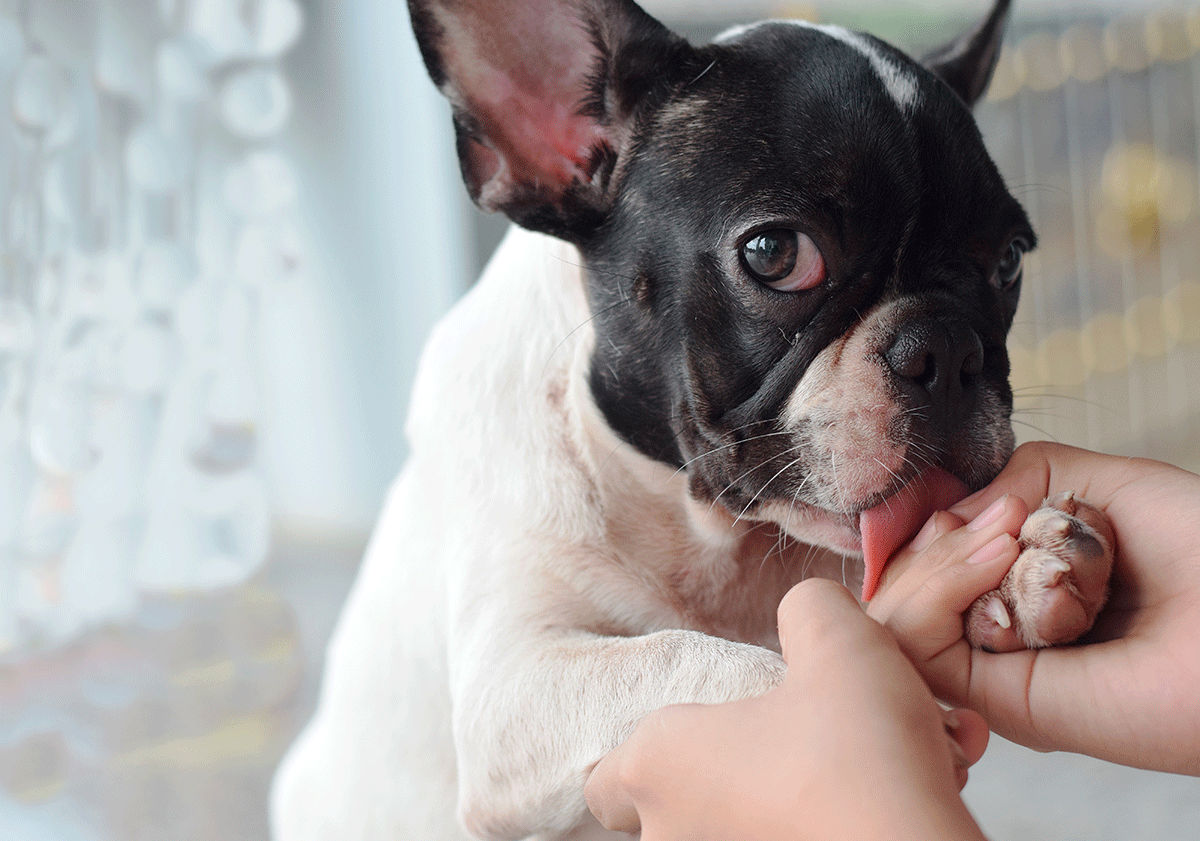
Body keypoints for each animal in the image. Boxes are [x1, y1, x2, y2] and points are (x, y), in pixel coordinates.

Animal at [274, 1, 1113, 839]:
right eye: (775, 254)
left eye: (1009, 261)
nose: (947, 348)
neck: (711, 538)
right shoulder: (511, 689)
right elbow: (678, 656)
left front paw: (1022, 572)